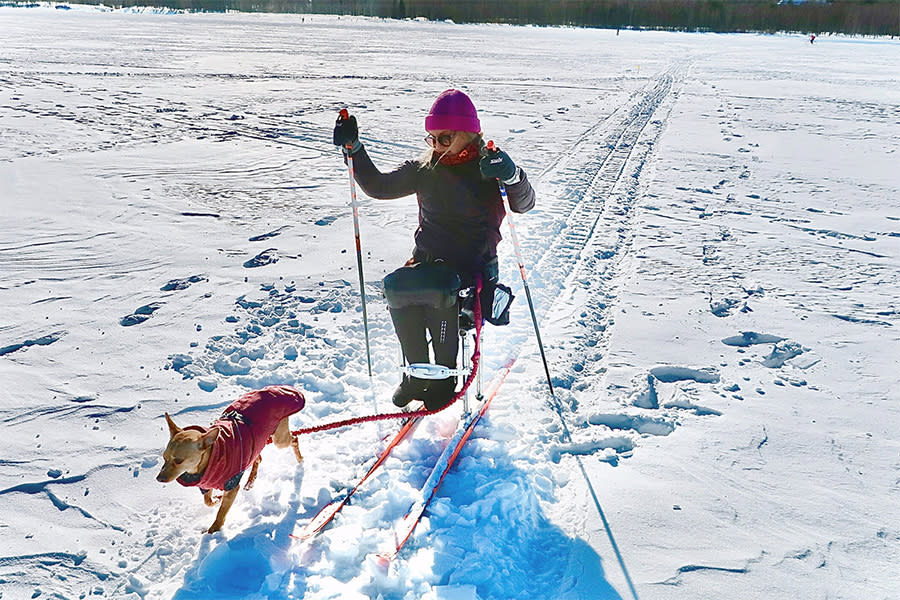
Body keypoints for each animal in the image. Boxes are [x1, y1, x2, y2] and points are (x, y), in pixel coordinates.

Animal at [157, 386, 306, 532]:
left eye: (178, 460)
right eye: (164, 458)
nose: (159, 479)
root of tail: (275, 388)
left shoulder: (232, 486)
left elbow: (221, 513)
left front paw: (213, 531)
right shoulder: (205, 484)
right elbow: (207, 501)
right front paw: (215, 500)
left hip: (279, 439)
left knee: (294, 439)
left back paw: (300, 460)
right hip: (258, 443)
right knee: (258, 457)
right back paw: (250, 480)